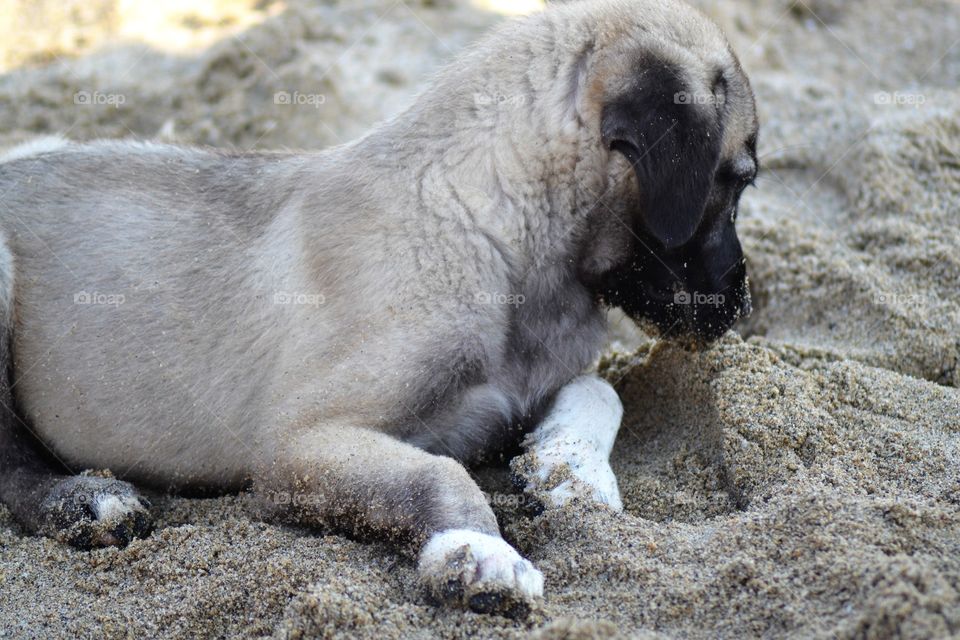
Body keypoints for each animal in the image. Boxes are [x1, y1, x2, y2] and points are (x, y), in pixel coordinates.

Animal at [0, 0, 756, 616]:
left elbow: (601, 390)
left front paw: (569, 470)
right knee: (10, 463)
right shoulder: (298, 443)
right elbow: (438, 471)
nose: (742, 304)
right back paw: (83, 501)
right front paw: (478, 550)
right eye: (740, 181)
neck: (499, 236)